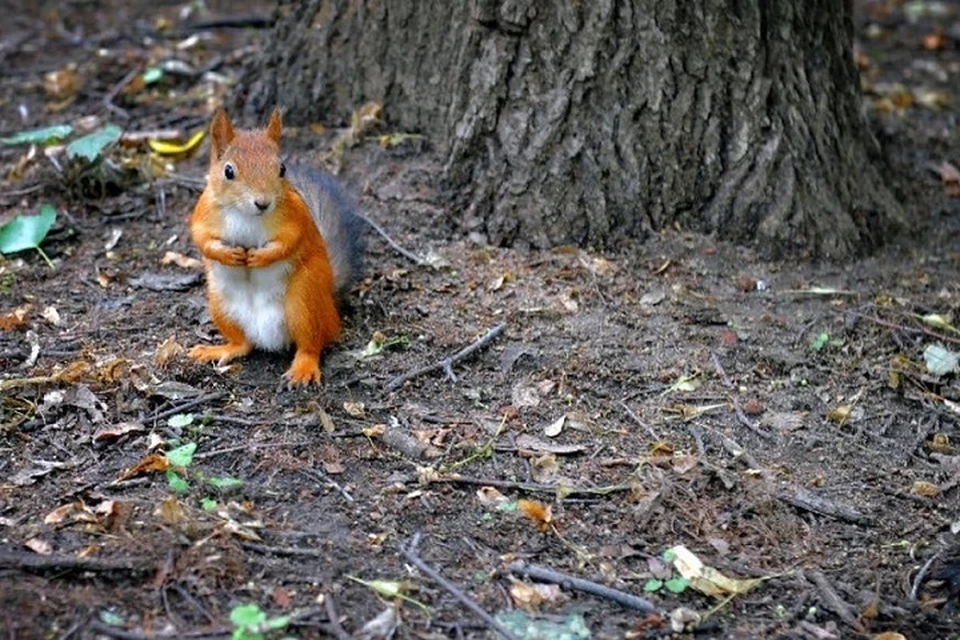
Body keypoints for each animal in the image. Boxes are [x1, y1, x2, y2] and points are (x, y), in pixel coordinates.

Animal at [188, 107, 364, 384]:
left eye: (282, 168)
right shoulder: (203, 213)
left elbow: (289, 241)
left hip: (305, 302)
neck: (245, 214)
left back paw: (303, 367)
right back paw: (220, 349)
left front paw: (260, 257)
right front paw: (228, 254)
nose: (263, 202)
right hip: (220, 304)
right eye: (228, 171)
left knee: (311, 344)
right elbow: (202, 239)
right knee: (243, 344)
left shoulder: (296, 216)